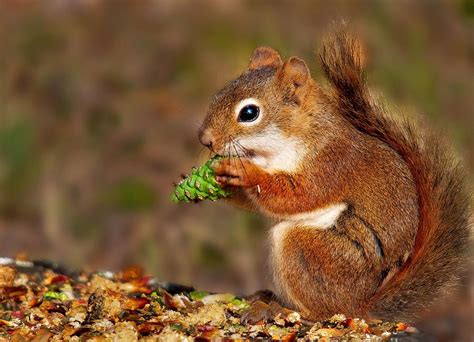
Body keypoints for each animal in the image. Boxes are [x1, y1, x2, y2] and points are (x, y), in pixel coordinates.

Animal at [197, 29, 470, 320]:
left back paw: (277, 308)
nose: (205, 140)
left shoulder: (330, 165)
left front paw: (244, 172)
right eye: (219, 94)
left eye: (249, 113)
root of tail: (359, 305)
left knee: (320, 311)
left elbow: (297, 195)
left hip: (312, 252)